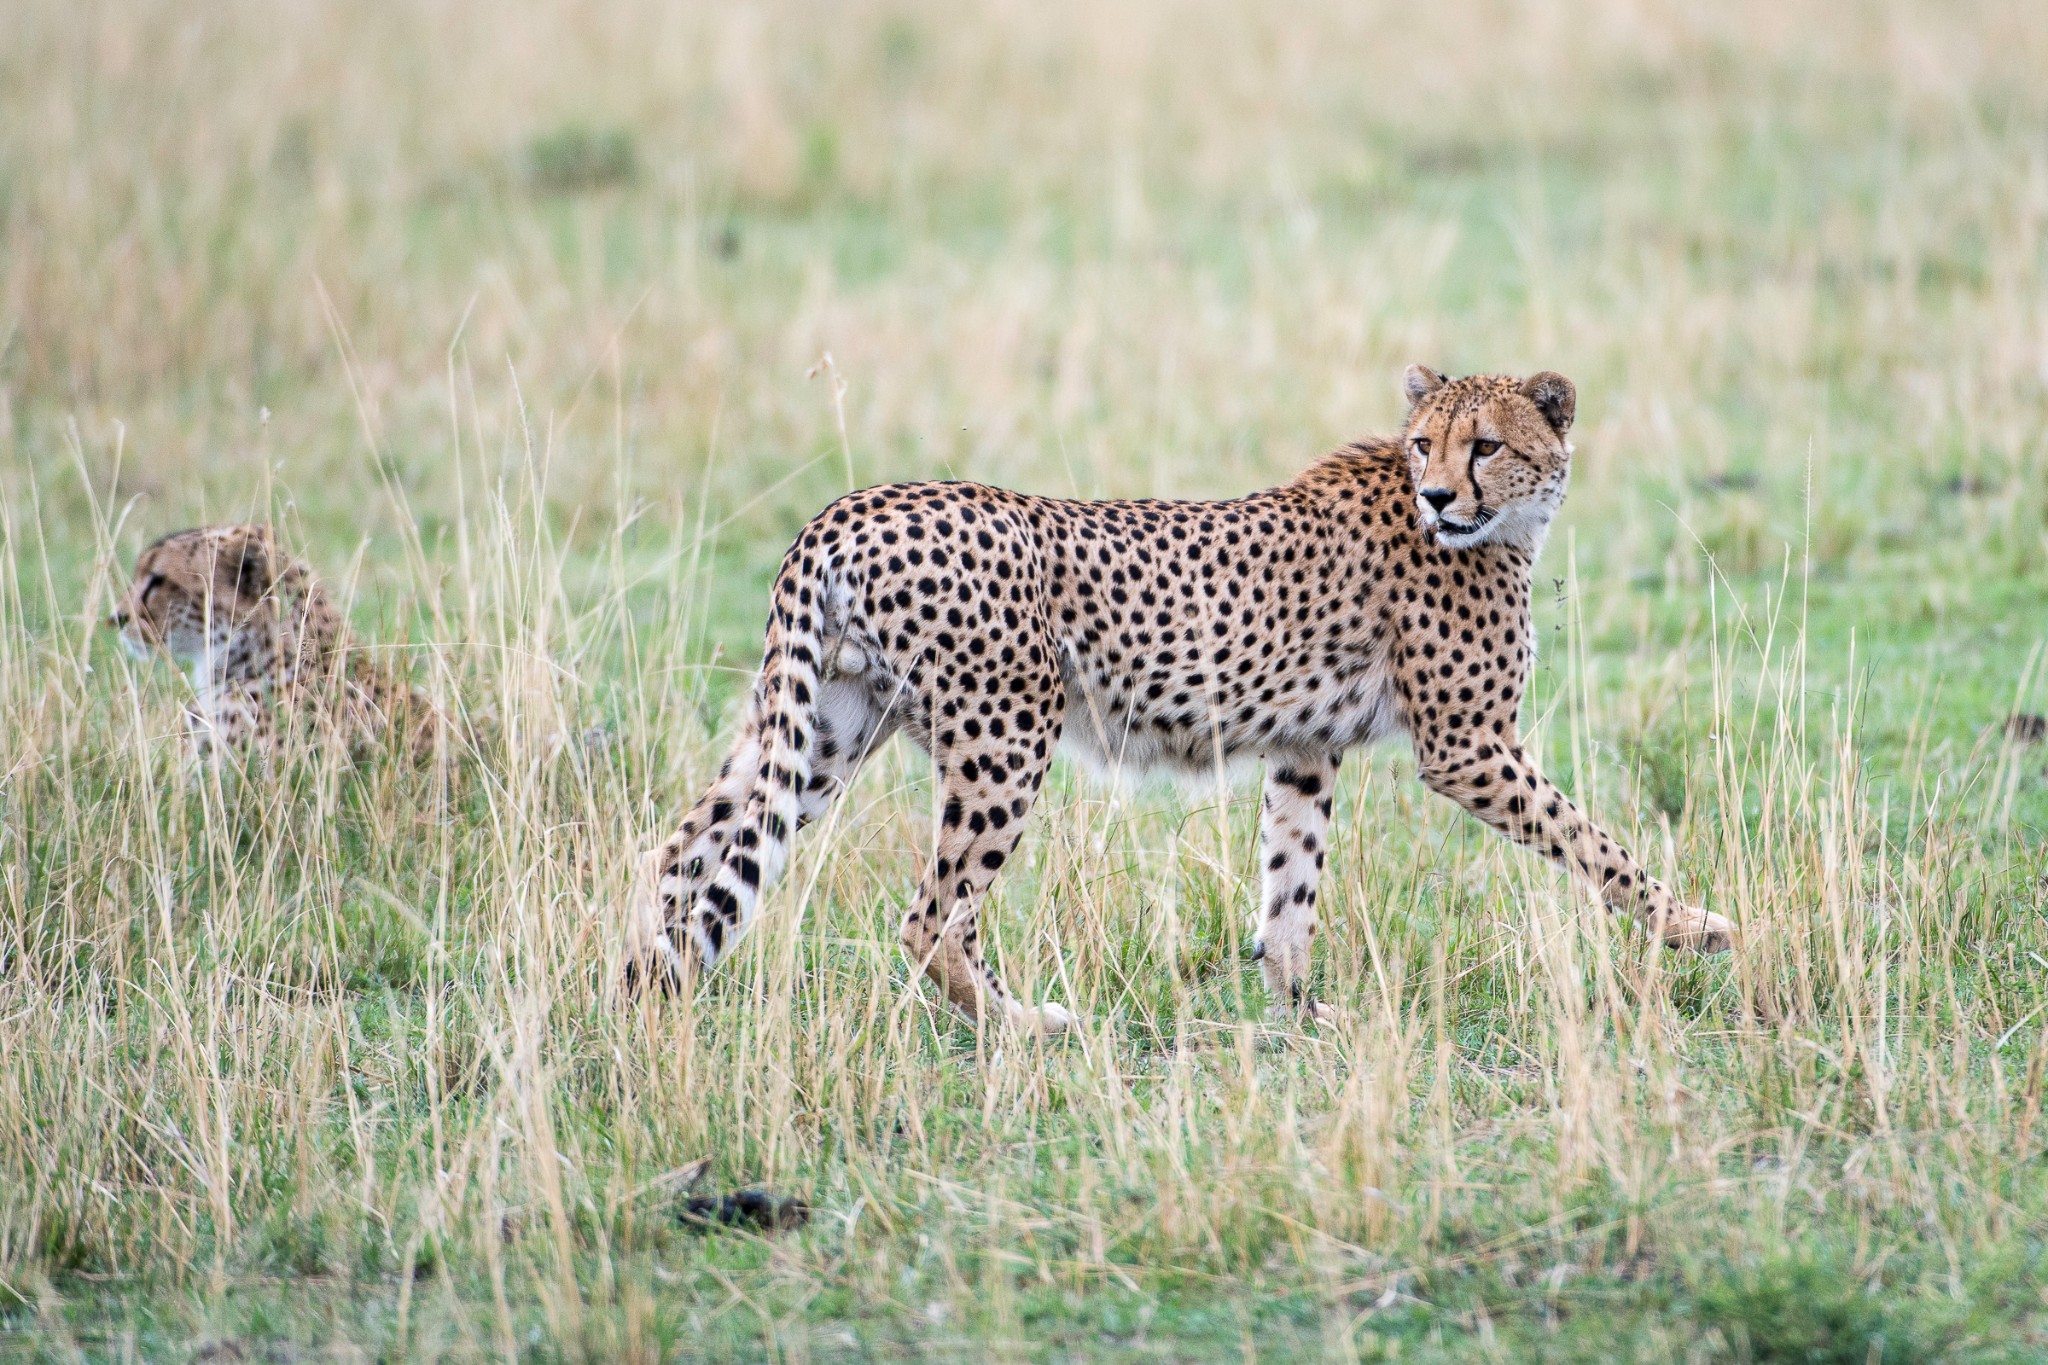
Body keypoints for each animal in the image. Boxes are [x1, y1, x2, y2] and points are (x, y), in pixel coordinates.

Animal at [630, 368, 1736, 1031]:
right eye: (1427, 444)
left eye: (1486, 445)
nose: (1437, 495)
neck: (1498, 529)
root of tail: (853, 504)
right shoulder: (1468, 745)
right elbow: (1591, 840)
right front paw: (1693, 927)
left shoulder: (1303, 749)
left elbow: (1290, 885)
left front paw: (1301, 1009)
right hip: (1004, 734)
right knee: (930, 916)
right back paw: (1023, 1025)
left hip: (825, 726)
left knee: (685, 849)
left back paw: (646, 984)